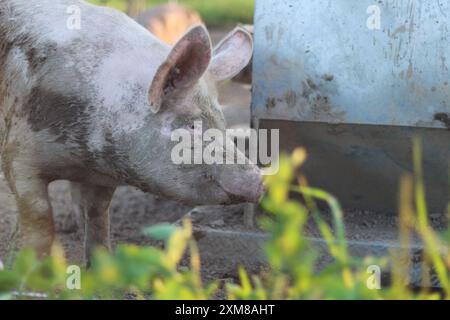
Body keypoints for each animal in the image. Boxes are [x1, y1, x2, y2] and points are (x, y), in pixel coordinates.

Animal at [0, 0, 264, 264]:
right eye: (192, 126)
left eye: (222, 121)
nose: (259, 181)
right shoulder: (19, 151)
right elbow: (39, 216)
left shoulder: (101, 177)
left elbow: (98, 215)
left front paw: (100, 266)